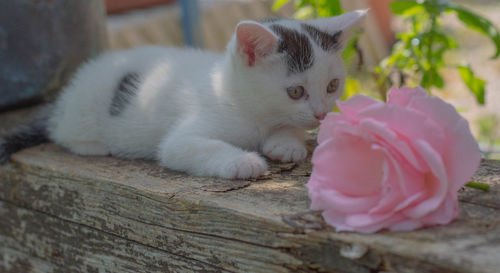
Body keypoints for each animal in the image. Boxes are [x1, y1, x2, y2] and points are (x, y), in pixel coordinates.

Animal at [0, 10, 368, 180]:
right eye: (295, 91)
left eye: (332, 86)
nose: (321, 114)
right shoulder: (182, 139)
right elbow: (190, 147)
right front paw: (243, 161)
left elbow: (287, 129)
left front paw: (285, 143)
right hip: (83, 114)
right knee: (62, 132)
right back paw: (95, 145)